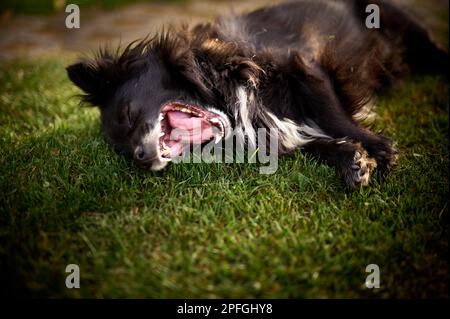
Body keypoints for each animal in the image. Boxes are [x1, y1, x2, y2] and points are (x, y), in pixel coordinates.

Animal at [66, 0, 446, 189]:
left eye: (129, 115)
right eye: (124, 153)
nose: (142, 159)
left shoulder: (305, 66)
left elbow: (333, 116)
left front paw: (378, 148)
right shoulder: (276, 131)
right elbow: (312, 143)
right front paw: (351, 161)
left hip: (407, 27)